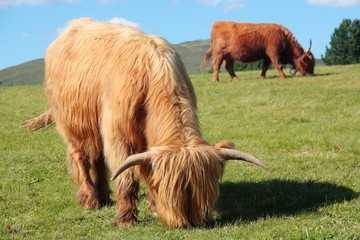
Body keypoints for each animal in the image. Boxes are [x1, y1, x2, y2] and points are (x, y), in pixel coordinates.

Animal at [20, 17, 268, 228]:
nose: (187, 223)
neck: (155, 74)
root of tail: (72, 25)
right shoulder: (118, 134)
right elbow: (127, 176)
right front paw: (126, 219)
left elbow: (143, 168)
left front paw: (152, 207)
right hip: (73, 121)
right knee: (80, 157)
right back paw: (90, 200)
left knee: (98, 159)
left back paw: (103, 195)